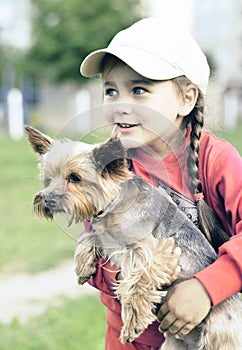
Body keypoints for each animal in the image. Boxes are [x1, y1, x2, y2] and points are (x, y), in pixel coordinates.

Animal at [25, 124, 242, 348]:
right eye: (49, 179)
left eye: (75, 178)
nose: (47, 199)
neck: (114, 200)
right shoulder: (107, 235)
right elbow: (90, 237)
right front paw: (84, 266)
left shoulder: (151, 251)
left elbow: (137, 283)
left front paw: (133, 324)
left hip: (218, 334)